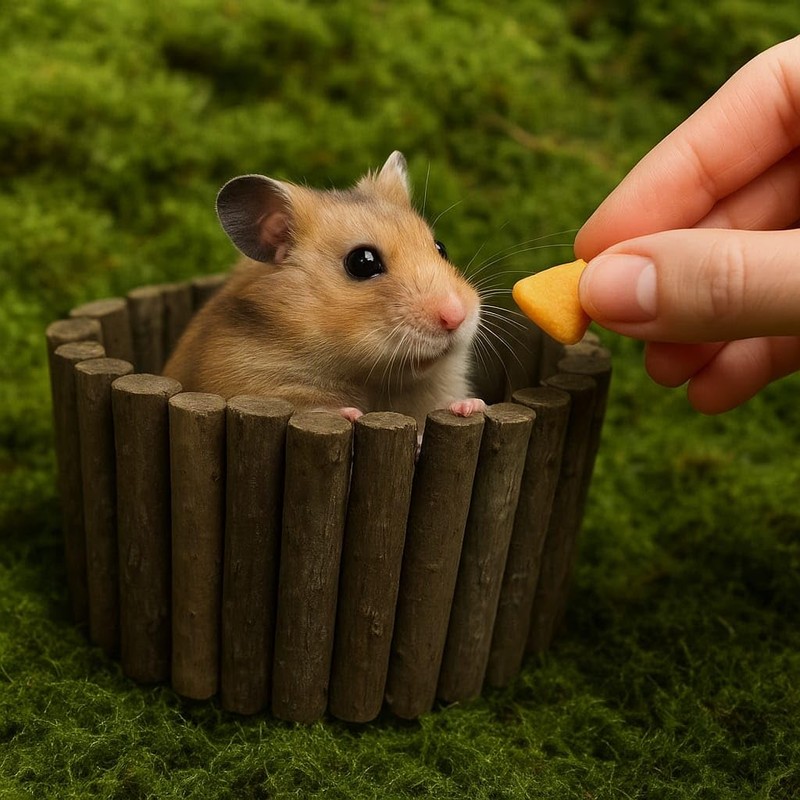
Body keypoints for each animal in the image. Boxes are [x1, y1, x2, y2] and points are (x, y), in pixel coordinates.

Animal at [162, 151, 485, 430]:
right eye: (362, 262)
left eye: (441, 248)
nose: (456, 317)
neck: (376, 376)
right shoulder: (240, 382)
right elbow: (310, 406)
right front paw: (349, 413)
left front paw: (470, 406)